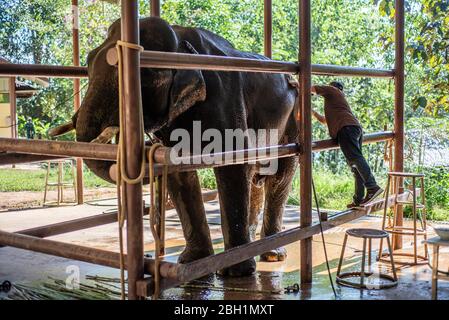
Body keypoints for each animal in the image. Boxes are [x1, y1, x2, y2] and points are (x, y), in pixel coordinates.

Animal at [58, 17, 300, 276]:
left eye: (143, 79)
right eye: (88, 62)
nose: (146, 143)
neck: (180, 41)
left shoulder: (226, 96)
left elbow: (233, 165)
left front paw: (237, 272)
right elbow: (178, 173)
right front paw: (193, 261)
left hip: (292, 121)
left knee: (279, 175)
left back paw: (272, 254)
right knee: (256, 177)